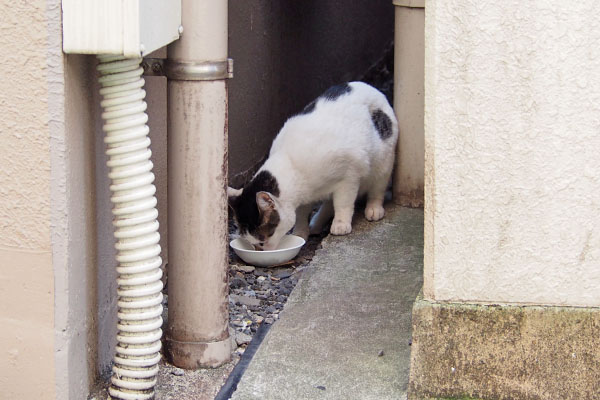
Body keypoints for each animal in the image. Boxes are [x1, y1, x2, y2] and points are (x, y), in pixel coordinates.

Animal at [229, 81, 398, 250]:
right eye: (251, 243)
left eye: (262, 240)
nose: (262, 251)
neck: (291, 163)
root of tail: (370, 87)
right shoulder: (304, 196)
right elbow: (303, 213)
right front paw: (300, 232)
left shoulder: (349, 177)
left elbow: (343, 203)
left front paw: (341, 224)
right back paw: (316, 223)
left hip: (383, 163)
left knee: (377, 189)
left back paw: (373, 209)